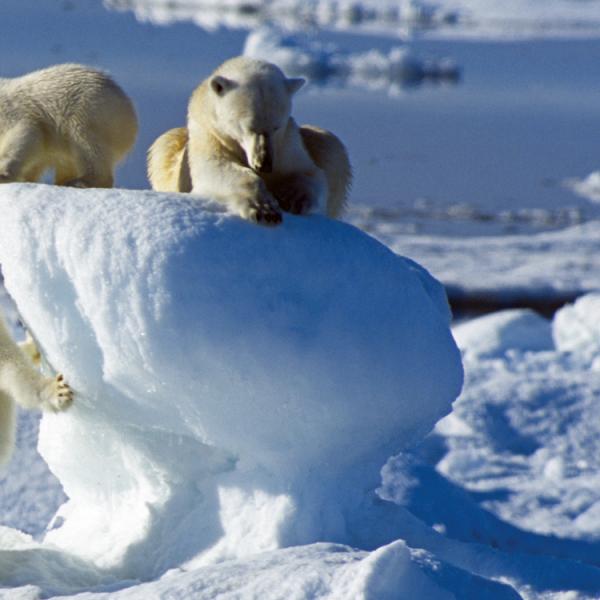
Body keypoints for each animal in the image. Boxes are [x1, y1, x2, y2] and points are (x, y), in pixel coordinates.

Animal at [0, 63, 137, 188]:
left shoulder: (11, 111)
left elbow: (24, 131)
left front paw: (3, 174)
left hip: (89, 112)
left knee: (88, 145)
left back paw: (81, 181)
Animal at [146, 57, 352, 225]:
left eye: (276, 126)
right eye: (248, 126)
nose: (264, 164)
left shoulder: (287, 143)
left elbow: (309, 172)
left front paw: (293, 198)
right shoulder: (210, 137)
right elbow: (217, 168)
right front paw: (264, 210)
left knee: (330, 145)